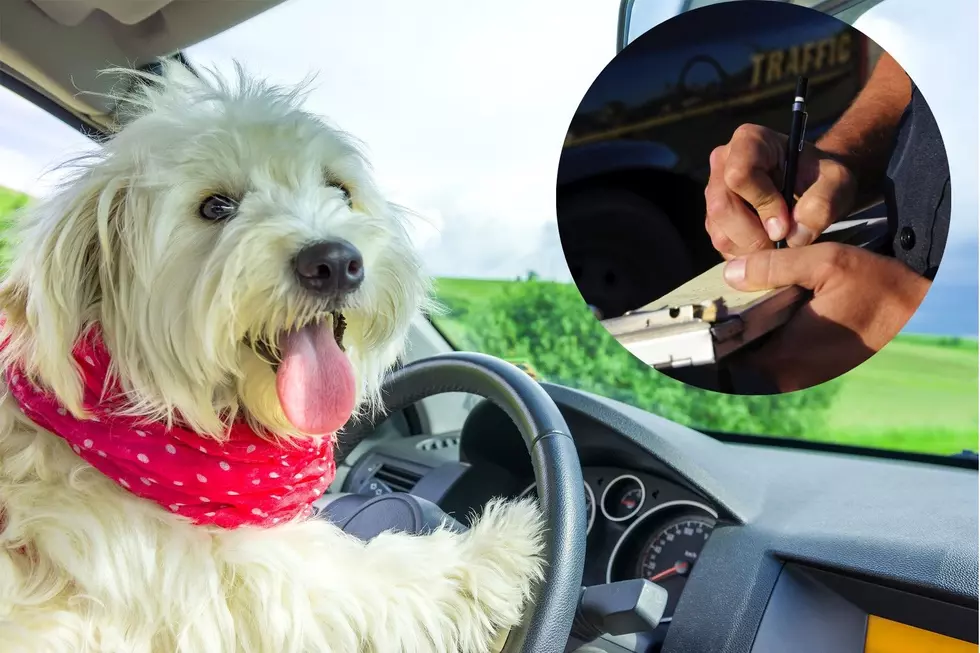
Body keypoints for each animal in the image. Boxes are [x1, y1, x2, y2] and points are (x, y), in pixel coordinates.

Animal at [0, 61, 544, 652]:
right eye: (215, 206)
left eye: (339, 188)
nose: (335, 262)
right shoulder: (245, 589)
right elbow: (375, 579)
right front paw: (496, 547)